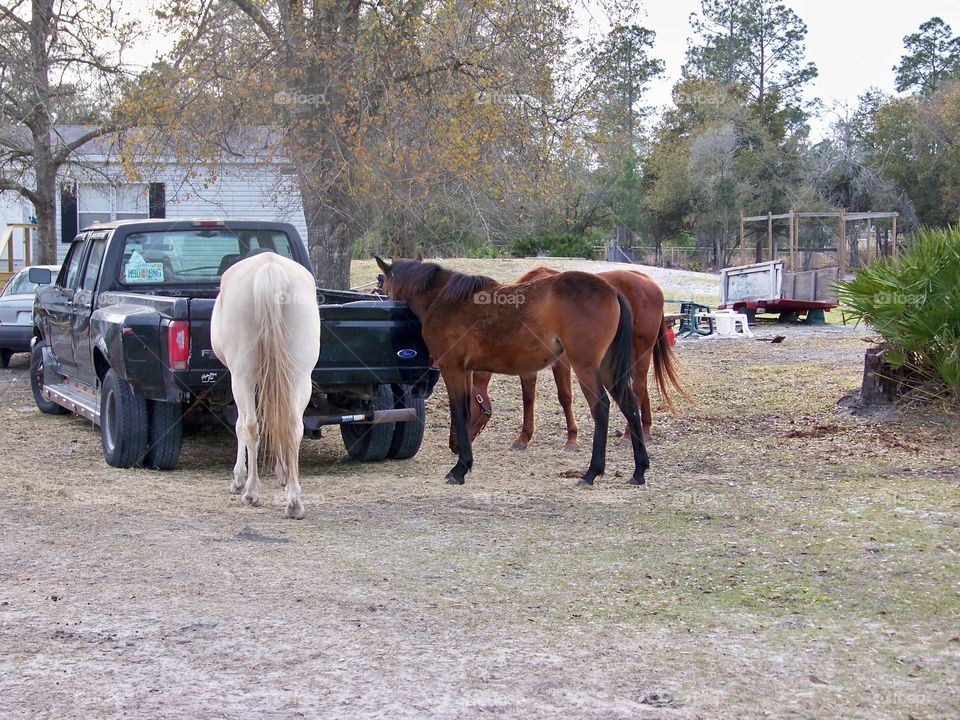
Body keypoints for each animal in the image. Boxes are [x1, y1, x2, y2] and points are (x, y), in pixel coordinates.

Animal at [211, 251, 321, 519]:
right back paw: (294, 501)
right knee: (293, 426)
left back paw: (251, 491)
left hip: (242, 376)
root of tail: (269, 269)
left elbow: (240, 425)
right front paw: (282, 473)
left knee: (250, 426)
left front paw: (238, 479)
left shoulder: (240, 379)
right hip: (299, 376)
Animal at [375, 256, 649, 487]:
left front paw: (459, 469)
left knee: (601, 408)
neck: (443, 300)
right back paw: (639, 471)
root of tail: (613, 291)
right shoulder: (466, 371)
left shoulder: (452, 369)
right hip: (608, 368)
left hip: (585, 367)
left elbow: (458, 412)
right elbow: (466, 411)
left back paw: (591, 472)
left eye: (384, 289)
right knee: (629, 405)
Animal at [465, 267, 688, 452]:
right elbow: (528, 397)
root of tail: (650, 283)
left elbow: (564, 396)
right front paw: (523, 437)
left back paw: (626, 436)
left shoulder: (561, 361)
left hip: (640, 349)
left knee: (639, 388)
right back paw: (645, 431)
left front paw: (572, 438)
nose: (461, 443)